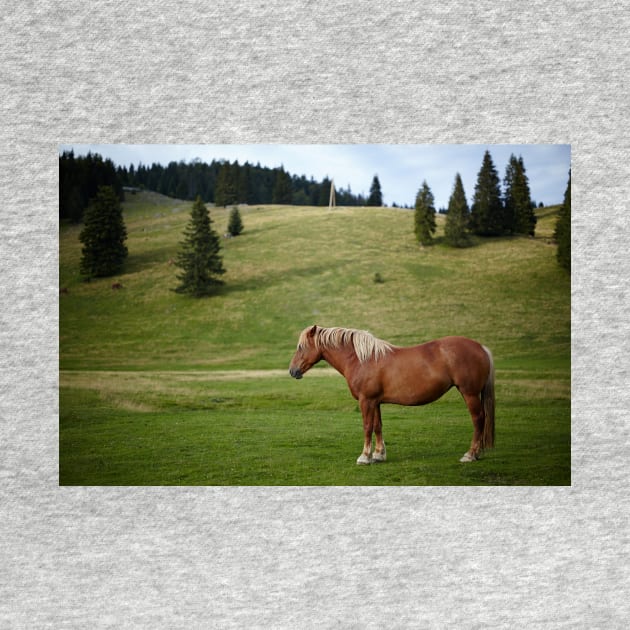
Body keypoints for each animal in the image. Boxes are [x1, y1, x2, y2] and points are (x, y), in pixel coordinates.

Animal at [288, 328, 496, 466]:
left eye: (301, 347)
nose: (292, 371)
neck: (362, 359)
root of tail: (481, 347)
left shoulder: (366, 401)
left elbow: (367, 426)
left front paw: (364, 457)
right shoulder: (375, 401)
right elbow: (378, 426)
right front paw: (379, 455)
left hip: (469, 394)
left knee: (478, 420)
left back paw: (470, 454)